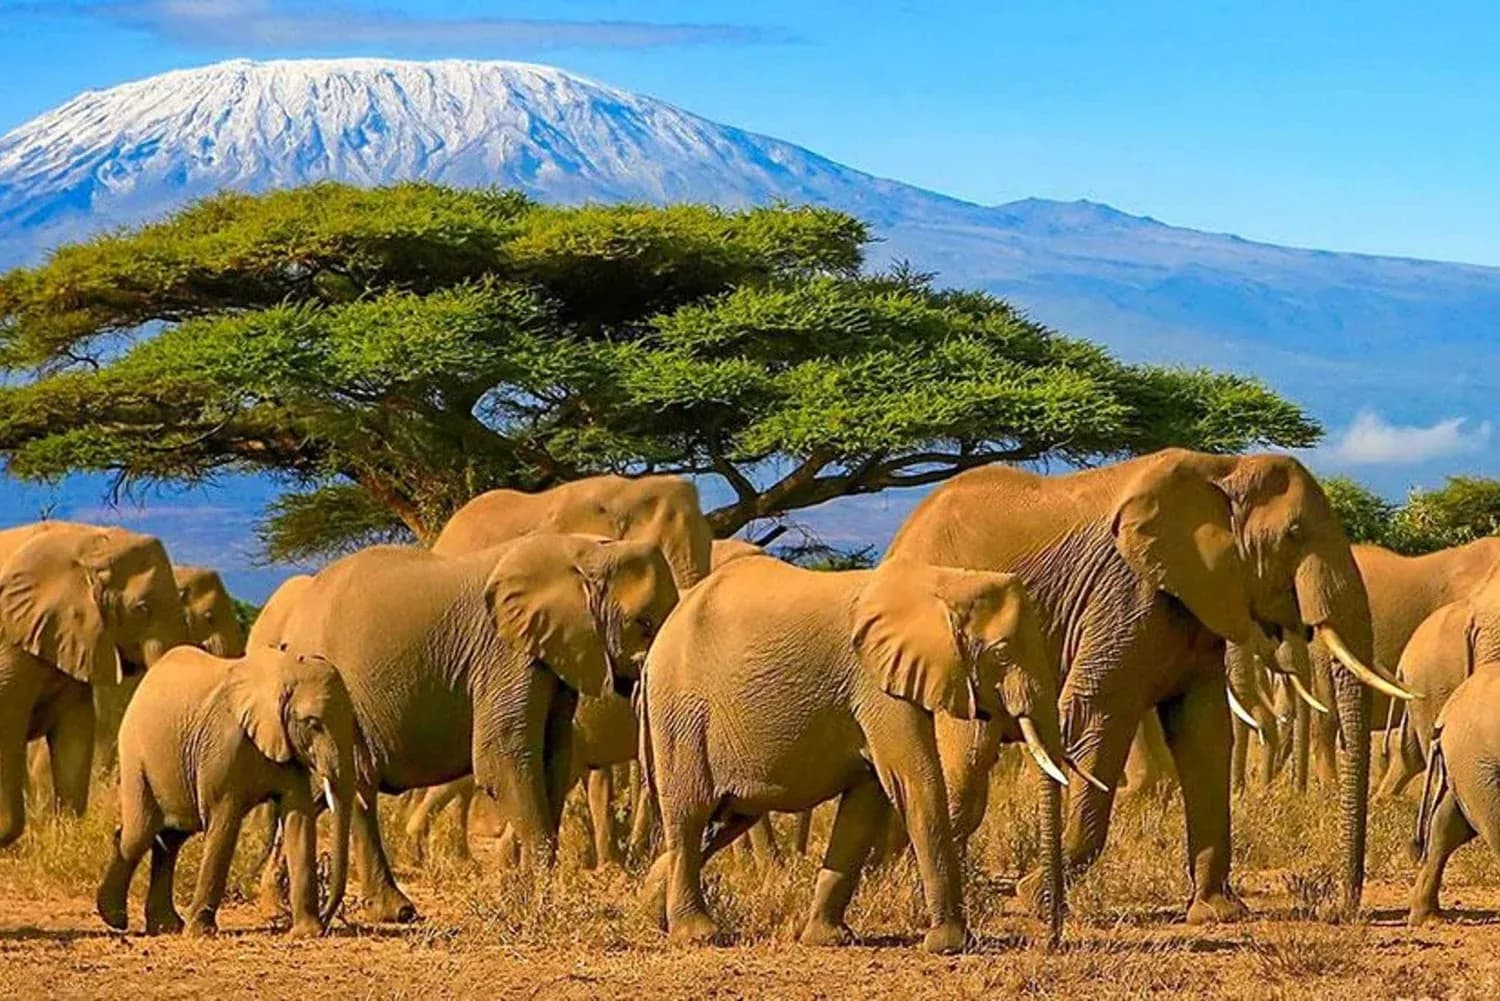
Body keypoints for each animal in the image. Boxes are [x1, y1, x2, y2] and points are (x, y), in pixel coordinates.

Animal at [96, 644, 356, 937]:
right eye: (313, 723)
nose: (327, 917)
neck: (282, 672)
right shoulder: (222, 745)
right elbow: (223, 823)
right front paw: (200, 933)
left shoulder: (285, 746)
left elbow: (298, 818)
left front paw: (307, 933)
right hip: (135, 754)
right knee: (139, 834)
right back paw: (115, 919)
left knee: (170, 840)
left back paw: (166, 926)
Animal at [267, 533, 677, 922]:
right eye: (643, 624)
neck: (586, 550)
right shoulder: (505, 653)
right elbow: (502, 758)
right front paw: (539, 907)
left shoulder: (555, 656)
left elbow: (554, 761)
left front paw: (522, 896)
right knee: (356, 786)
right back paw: (386, 910)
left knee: (343, 789)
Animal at [641, 554, 1070, 953]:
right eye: (1002, 654)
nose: (1051, 937)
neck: (944, 581)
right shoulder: (875, 684)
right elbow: (915, 783)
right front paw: (950, 945)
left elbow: (866, 801)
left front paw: (828, 940)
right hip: (682, 713)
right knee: (691, 814)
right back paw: (697, 934)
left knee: (725, 820)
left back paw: (650, 909)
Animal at [885, 448, 1412, 921]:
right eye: (1295, 534)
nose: (1340, 908)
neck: (1224, 468)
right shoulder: (1126, 592)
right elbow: (1097, 713)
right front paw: (1035, 897)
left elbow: (1204, 732)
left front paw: (1218, 912)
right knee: (968, 762)